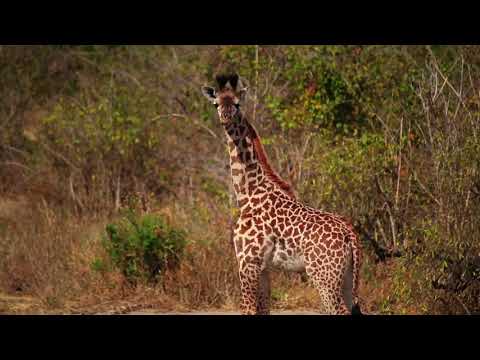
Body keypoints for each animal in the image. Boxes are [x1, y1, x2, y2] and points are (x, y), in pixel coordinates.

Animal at [201, 73, 362, 316]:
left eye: (237, 104)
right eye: (216, 104)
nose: (226, 118)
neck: (247, 194)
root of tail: (350, 234)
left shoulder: (247, 262)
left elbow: (248, 309)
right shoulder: (263, 267)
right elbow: (263, 309)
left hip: (324, 277)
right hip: (347, 277)